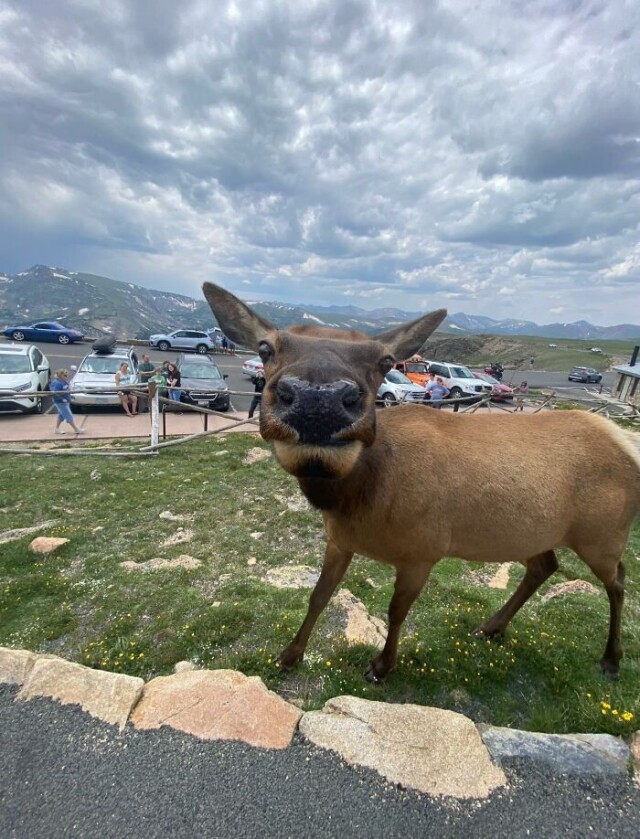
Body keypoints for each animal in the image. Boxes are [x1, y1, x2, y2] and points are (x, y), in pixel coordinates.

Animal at [201, 282, 640, 684]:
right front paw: (289, 655)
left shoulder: (424, 550)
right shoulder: (339, 540)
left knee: (618, 581)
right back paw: (493, 625)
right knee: (545, 565)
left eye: (385, 359)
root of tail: (624, 441)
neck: (361, 500)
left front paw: (381, 666)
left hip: (603, 534)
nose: (318, 399)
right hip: (539, 532)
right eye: (265, 348)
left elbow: (396, 610)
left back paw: (611, 658)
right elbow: (319, 595)